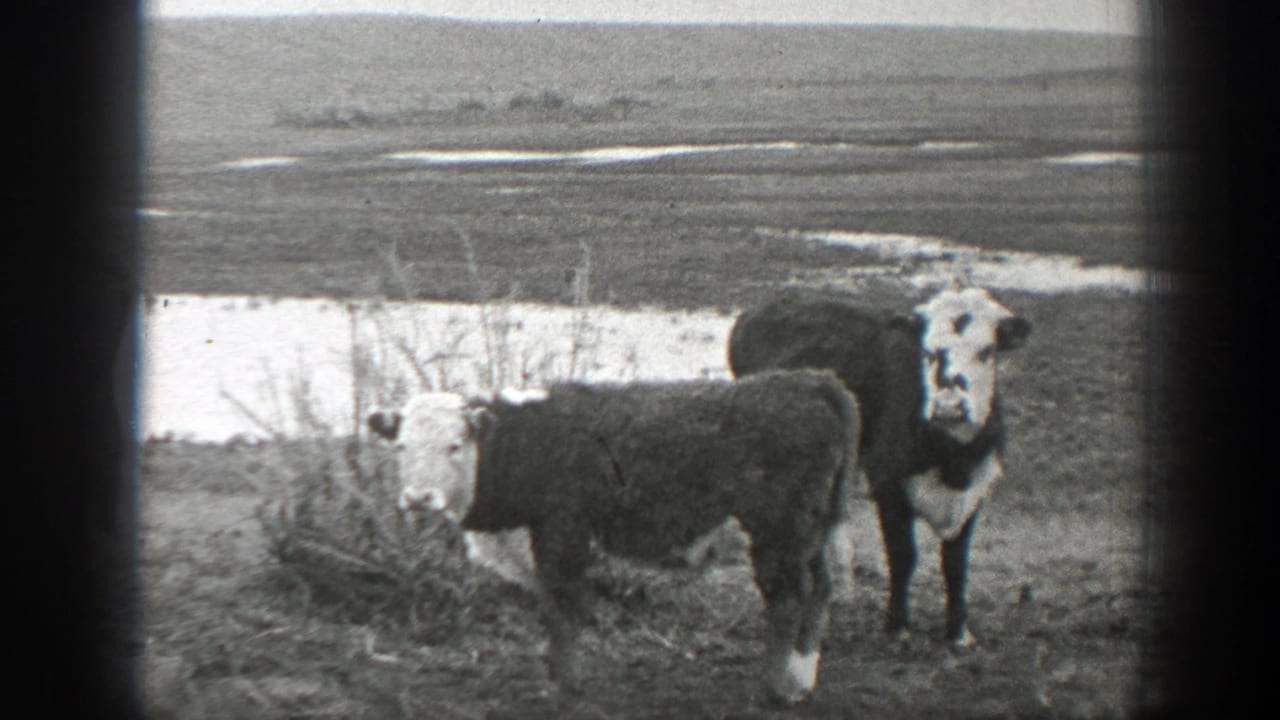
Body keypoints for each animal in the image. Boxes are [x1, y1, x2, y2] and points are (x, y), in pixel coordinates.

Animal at [367, 369, 861, 705]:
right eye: (401, 446)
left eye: (454, 445)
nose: (419, 497)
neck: (525, 440)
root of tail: (806, 380)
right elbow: (551, 604)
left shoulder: (562, 530)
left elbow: (563, 608)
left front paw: (566, 687)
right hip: (812, 531)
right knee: (821, 590)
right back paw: (800, 678)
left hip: (780, 530)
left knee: (788, 599)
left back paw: (774, 689)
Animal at [728, 287, 1031, 647]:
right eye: (927, 352)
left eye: (987, 351)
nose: (948, 407)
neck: (951, 461)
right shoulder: (888, 484)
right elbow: (903, 557)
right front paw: (897, 626)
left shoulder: (974, 492)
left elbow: (956, 564)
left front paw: (958, 632)